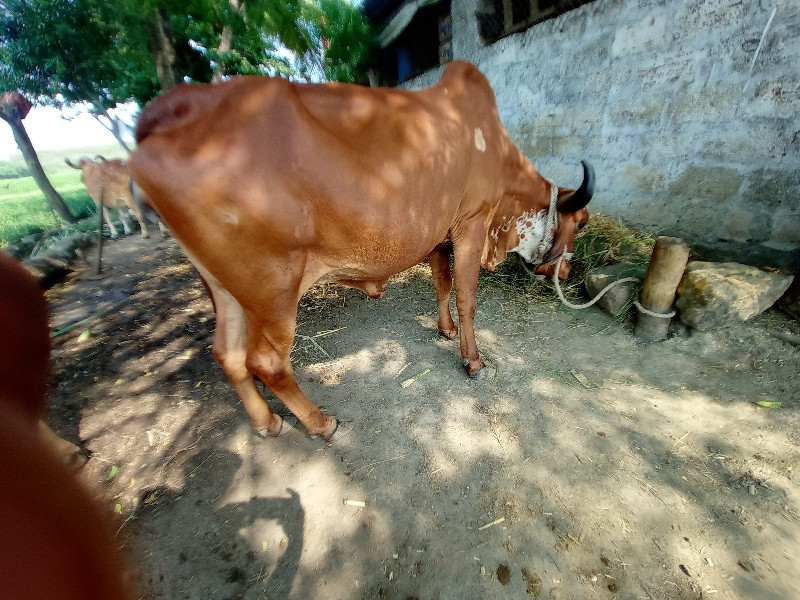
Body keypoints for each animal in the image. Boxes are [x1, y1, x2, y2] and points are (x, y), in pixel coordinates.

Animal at [130, 61, 592, 440]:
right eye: (583, 222)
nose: (569, 273)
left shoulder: (439, 236)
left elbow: (442, 285)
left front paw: (445, 330)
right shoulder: (472, 225)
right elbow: (467, 297)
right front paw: (473, 362)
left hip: (224, 288)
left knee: (227, 355)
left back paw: (267, 422)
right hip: (272, 288)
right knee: (266, 362)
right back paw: (320, 423)